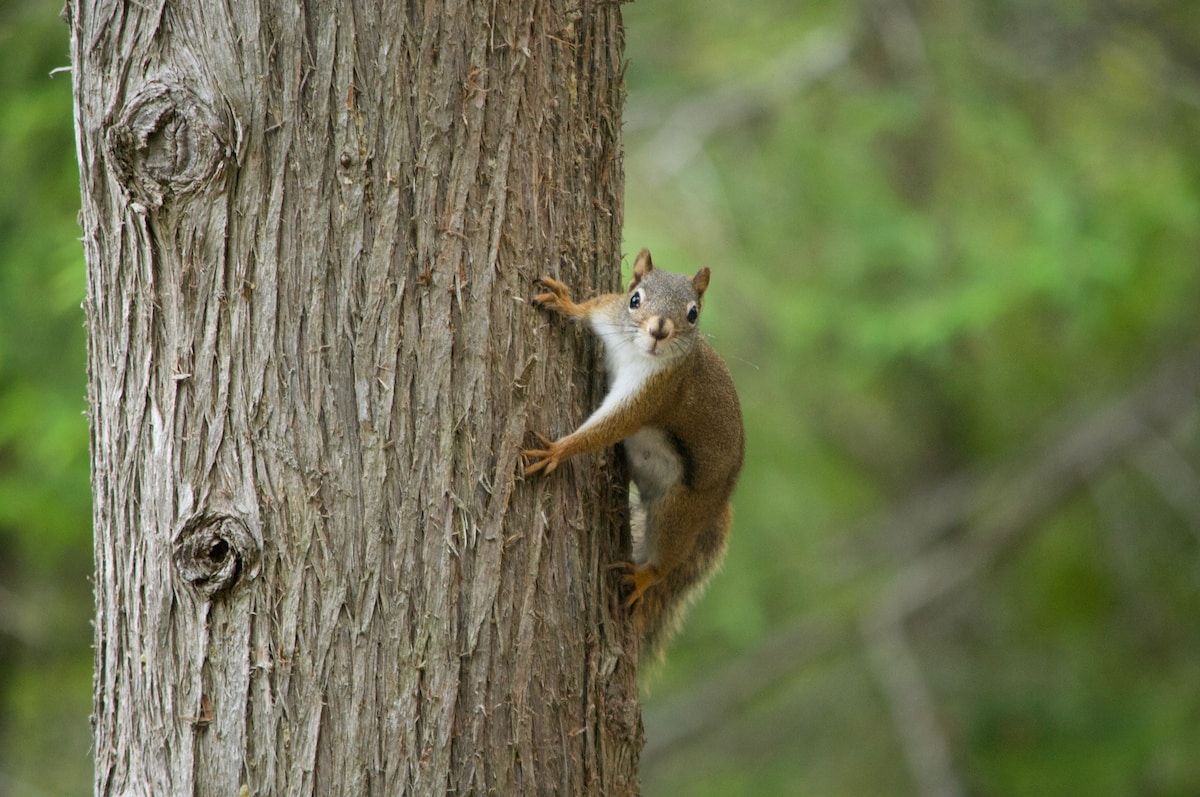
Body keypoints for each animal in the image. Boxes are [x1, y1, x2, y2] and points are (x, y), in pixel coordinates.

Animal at [523, 249, 744, 657]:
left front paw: (560, 449)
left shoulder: (655, 391)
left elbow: (611, 426)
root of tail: (720, 504)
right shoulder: (610, 315)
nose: (659, 330)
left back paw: (644, 575)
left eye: (693, 313)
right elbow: (589, 310)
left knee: (668, 559)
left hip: (680, 512)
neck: (635, 350)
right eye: (635, 298)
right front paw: (565, 302)